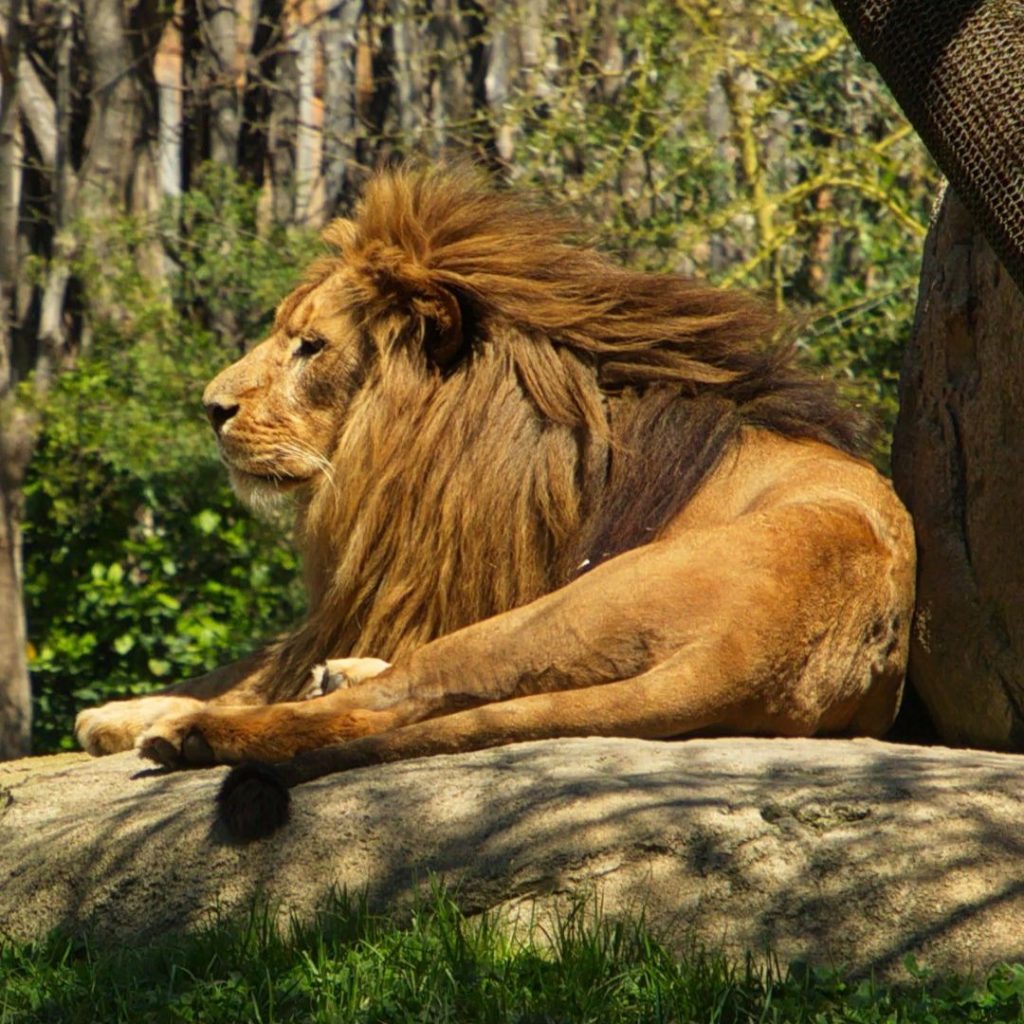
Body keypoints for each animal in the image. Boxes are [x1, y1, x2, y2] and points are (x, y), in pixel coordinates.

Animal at [75, 165, 917, 839]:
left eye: (310, 347)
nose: (211, 408)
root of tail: (751, 653)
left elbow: (271, 670)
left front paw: (144, 714)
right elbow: (252, 662)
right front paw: (118, 711)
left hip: (560, 610)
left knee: (393, 698)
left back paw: (191, 733)